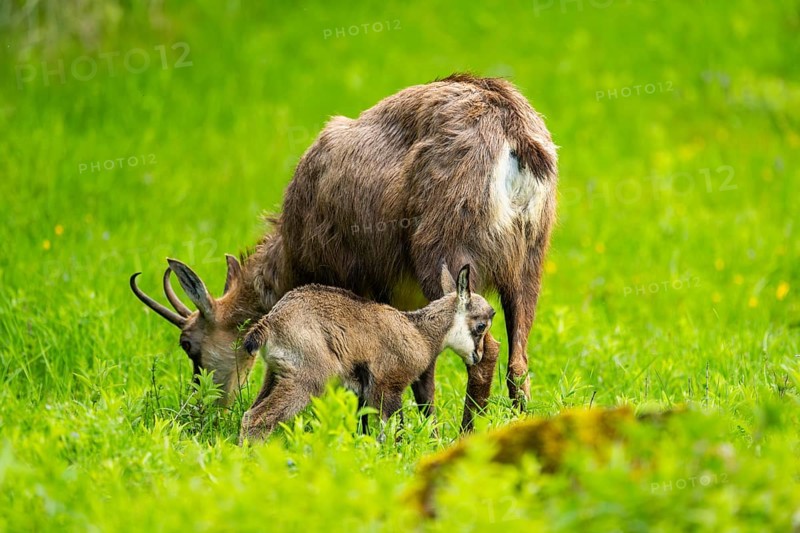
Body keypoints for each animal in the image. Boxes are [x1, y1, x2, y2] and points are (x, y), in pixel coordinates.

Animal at [238, 264, 495, 443]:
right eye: (481, 325)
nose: (478, 356)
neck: (419, 332)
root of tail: (272, 321)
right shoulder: (387, 387)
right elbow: (393, 431)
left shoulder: (367, 392)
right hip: (306, 379)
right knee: (257, 418)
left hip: (276, 374)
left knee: (249, 414)